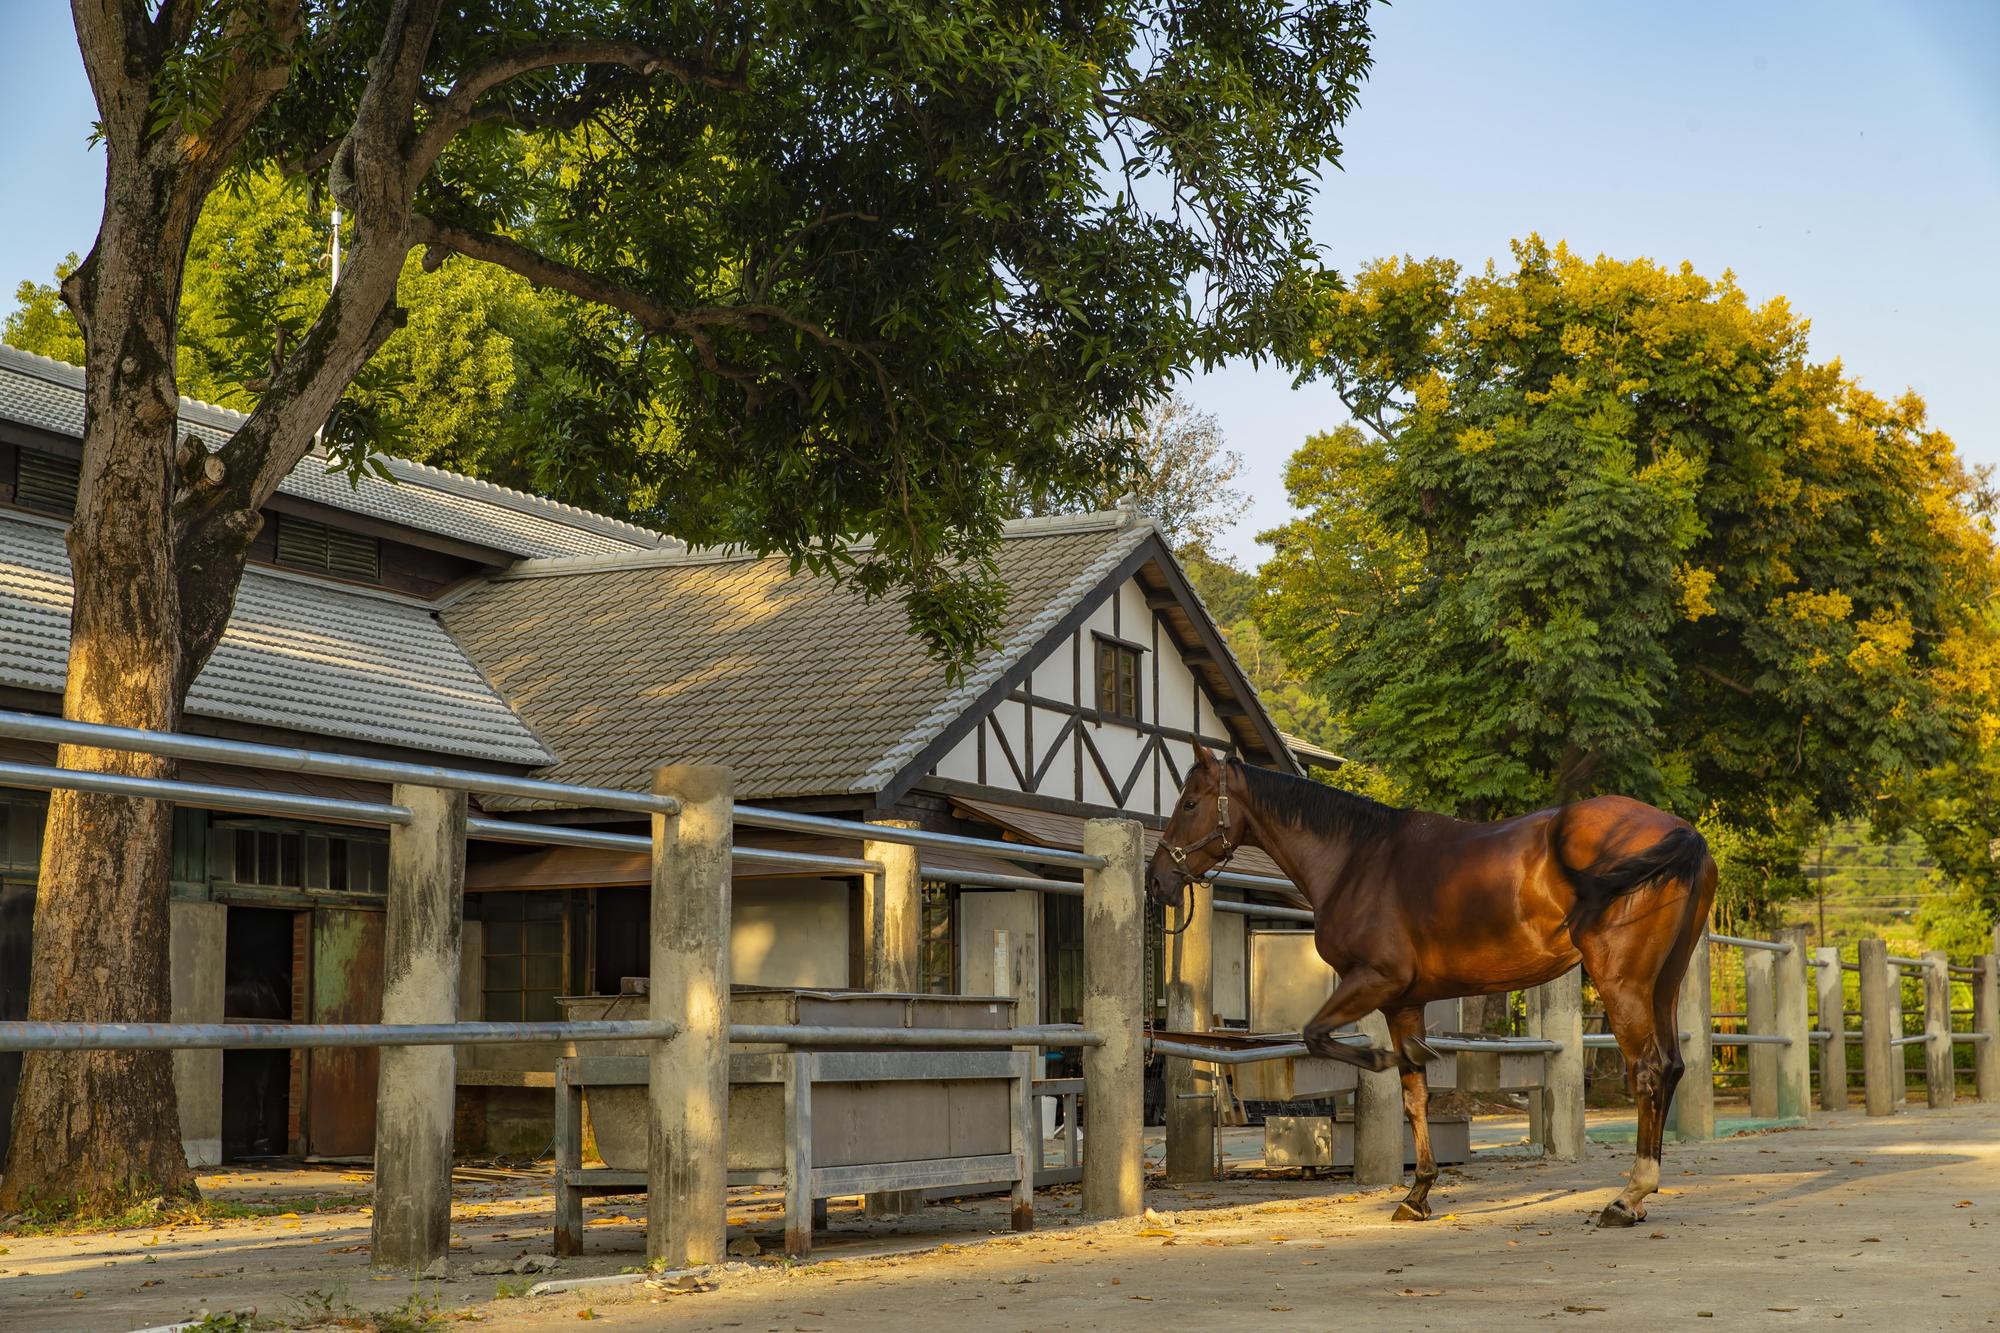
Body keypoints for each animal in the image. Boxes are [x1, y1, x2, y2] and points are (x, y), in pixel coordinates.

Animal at [1146, 743, 1716, 1228]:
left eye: (1191, 803)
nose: (1157, 879)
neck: (1357, 861)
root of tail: (1682, 833)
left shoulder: (1376, 980)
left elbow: (1319, 1036)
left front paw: (1380, 1061)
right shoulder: (1404, 1002)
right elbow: (1414, 1093)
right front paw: (1417, 1193)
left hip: (1623, 984)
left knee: (1648, 1071)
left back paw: (1628, 1196)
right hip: (1662, 985)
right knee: (1671, 1066)